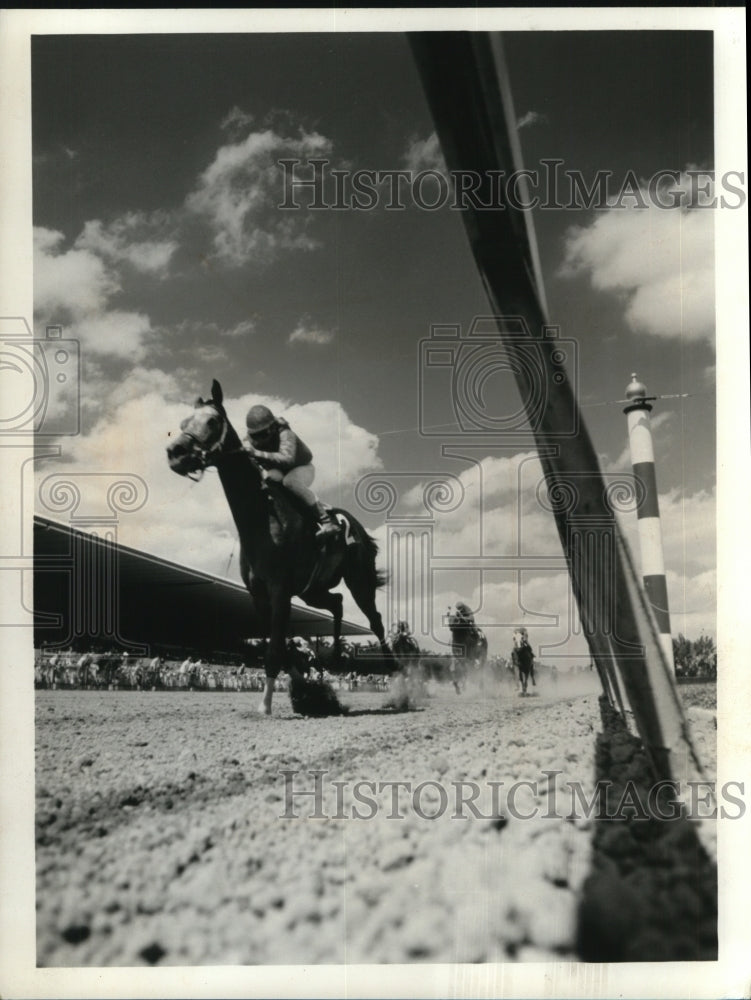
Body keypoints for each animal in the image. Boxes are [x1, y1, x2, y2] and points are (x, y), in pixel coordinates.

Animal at [167, 378, 396, 716]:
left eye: (212, 421)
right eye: (183, 423)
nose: (175, 452)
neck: (262, 518)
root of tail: (356, 527)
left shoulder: (280, 589)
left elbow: (276, 649)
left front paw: (267, 705)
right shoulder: (260, 594)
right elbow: (281, 648)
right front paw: (308, 691)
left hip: (359, 580)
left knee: (376, 621)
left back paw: (398, 676)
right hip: (312, 590)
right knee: (337, 603)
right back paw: (335, 657)